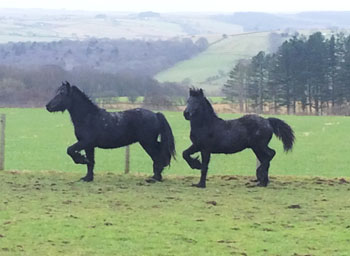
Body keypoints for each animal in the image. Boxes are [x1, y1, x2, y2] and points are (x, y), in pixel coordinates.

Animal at [46, 82, 175, 182]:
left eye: (62, 93)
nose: (48, 106)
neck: (88, 117)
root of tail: (156, 114)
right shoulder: (89, 146)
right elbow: (90, 162)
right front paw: (88, 178)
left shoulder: (85, 142)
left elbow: (70, 150)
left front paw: (81, 160)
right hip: (150, 142)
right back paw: (156, 176)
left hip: (147, 142)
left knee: (158, 156)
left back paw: (155, 178)